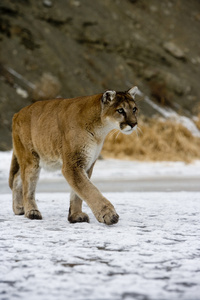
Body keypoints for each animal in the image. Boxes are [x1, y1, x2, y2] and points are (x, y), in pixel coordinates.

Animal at [8, 85, 138, 224]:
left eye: (134, 109)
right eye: (120, 110)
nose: (133, 124)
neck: (100, 130)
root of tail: (17, 113)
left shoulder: (86, 163)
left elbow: (78, 193)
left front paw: (75, 215)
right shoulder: (73, 164)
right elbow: (89, 189)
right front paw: (108, 214)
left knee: (16, 178)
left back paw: (18, 208)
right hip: (31, 159)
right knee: (27, 186)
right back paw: (32, 211)